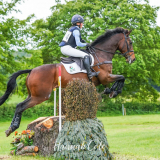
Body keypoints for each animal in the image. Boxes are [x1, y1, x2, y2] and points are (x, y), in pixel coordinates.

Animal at [0, 27, 135, 136]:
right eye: (130, 42)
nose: (132, 59)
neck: (100, 54)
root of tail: (32, 70)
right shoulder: (105, 77)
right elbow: (122, 77)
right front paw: (114, 91)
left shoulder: (104, 78)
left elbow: (120, 78)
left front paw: (110, 91)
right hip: (41, 96)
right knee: (20, 106)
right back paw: (12, 128)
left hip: (33, 94)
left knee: (19, 106)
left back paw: (10, 128)